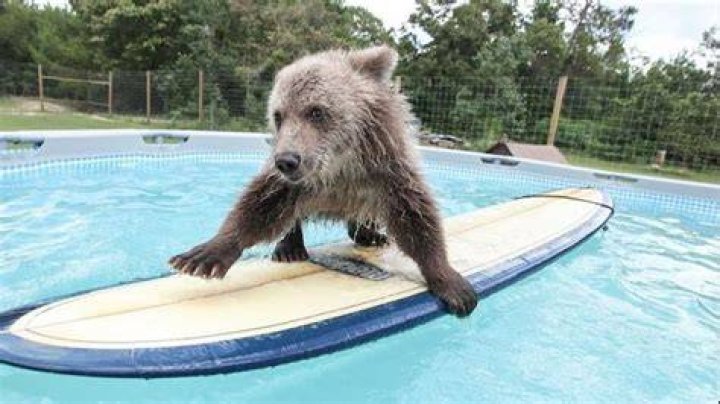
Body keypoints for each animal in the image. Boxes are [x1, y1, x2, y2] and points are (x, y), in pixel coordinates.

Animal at [168, 45, 478, 316]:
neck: (340, 165)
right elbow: (261, 203)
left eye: (316, 111)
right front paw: (201, 257)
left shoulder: (386, 169)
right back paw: (290, 247)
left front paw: (453, 285)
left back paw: (370, 235)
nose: (287, 160)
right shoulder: (293, 183)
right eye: (278, 115)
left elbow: (415, 216)